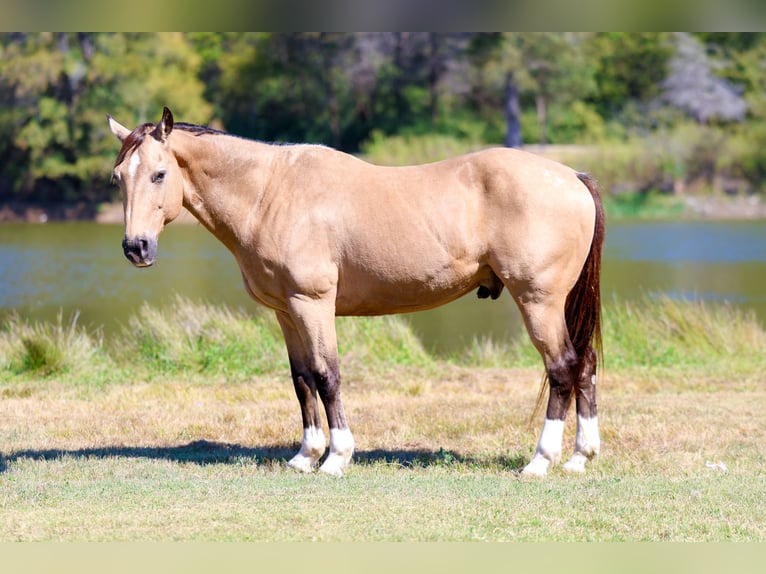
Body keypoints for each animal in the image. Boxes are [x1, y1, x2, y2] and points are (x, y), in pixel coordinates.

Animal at [107, 107, 604, 477]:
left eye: (158, 174)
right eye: (118, 177)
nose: (135, 247)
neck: (271, 193)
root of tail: (573, 177)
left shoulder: (313, 304)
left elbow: (327, 376)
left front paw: (337, 457)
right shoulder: (286, 311)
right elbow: (302, 380)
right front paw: (305, 456)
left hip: (538, 300)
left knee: (562, 367)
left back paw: (540, 461)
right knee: (585, 365)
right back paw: (580, 457)